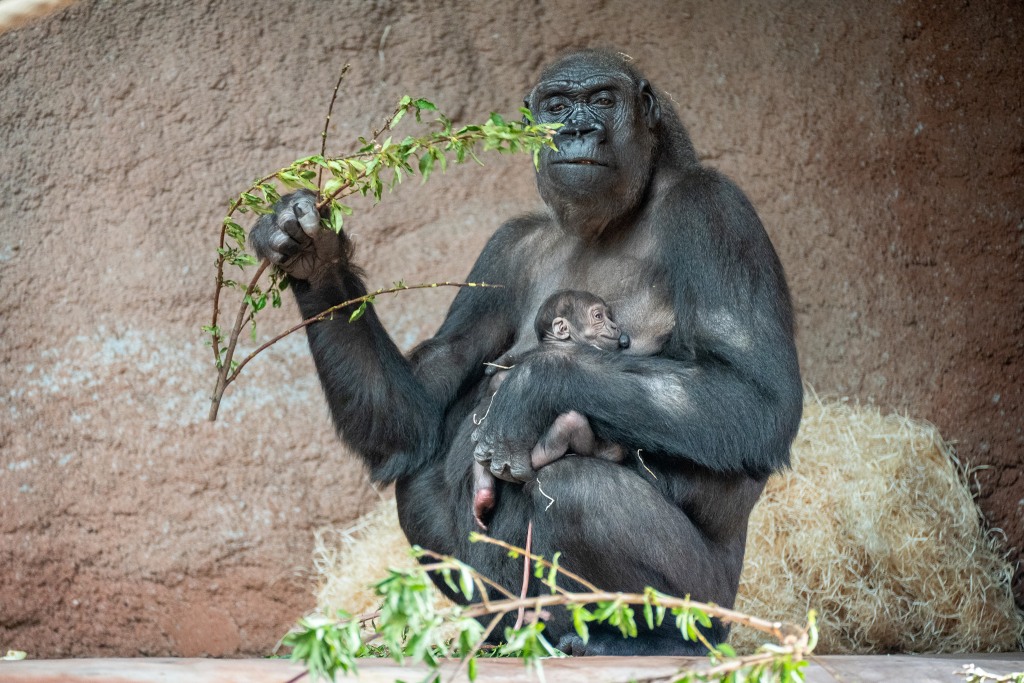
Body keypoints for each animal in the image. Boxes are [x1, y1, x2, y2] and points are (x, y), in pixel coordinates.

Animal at [473, 290, 630, 532]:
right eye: (598, 316)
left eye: (609, 316)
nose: (614, 327)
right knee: (570, 422)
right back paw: (606, 451)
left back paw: (482, 490)